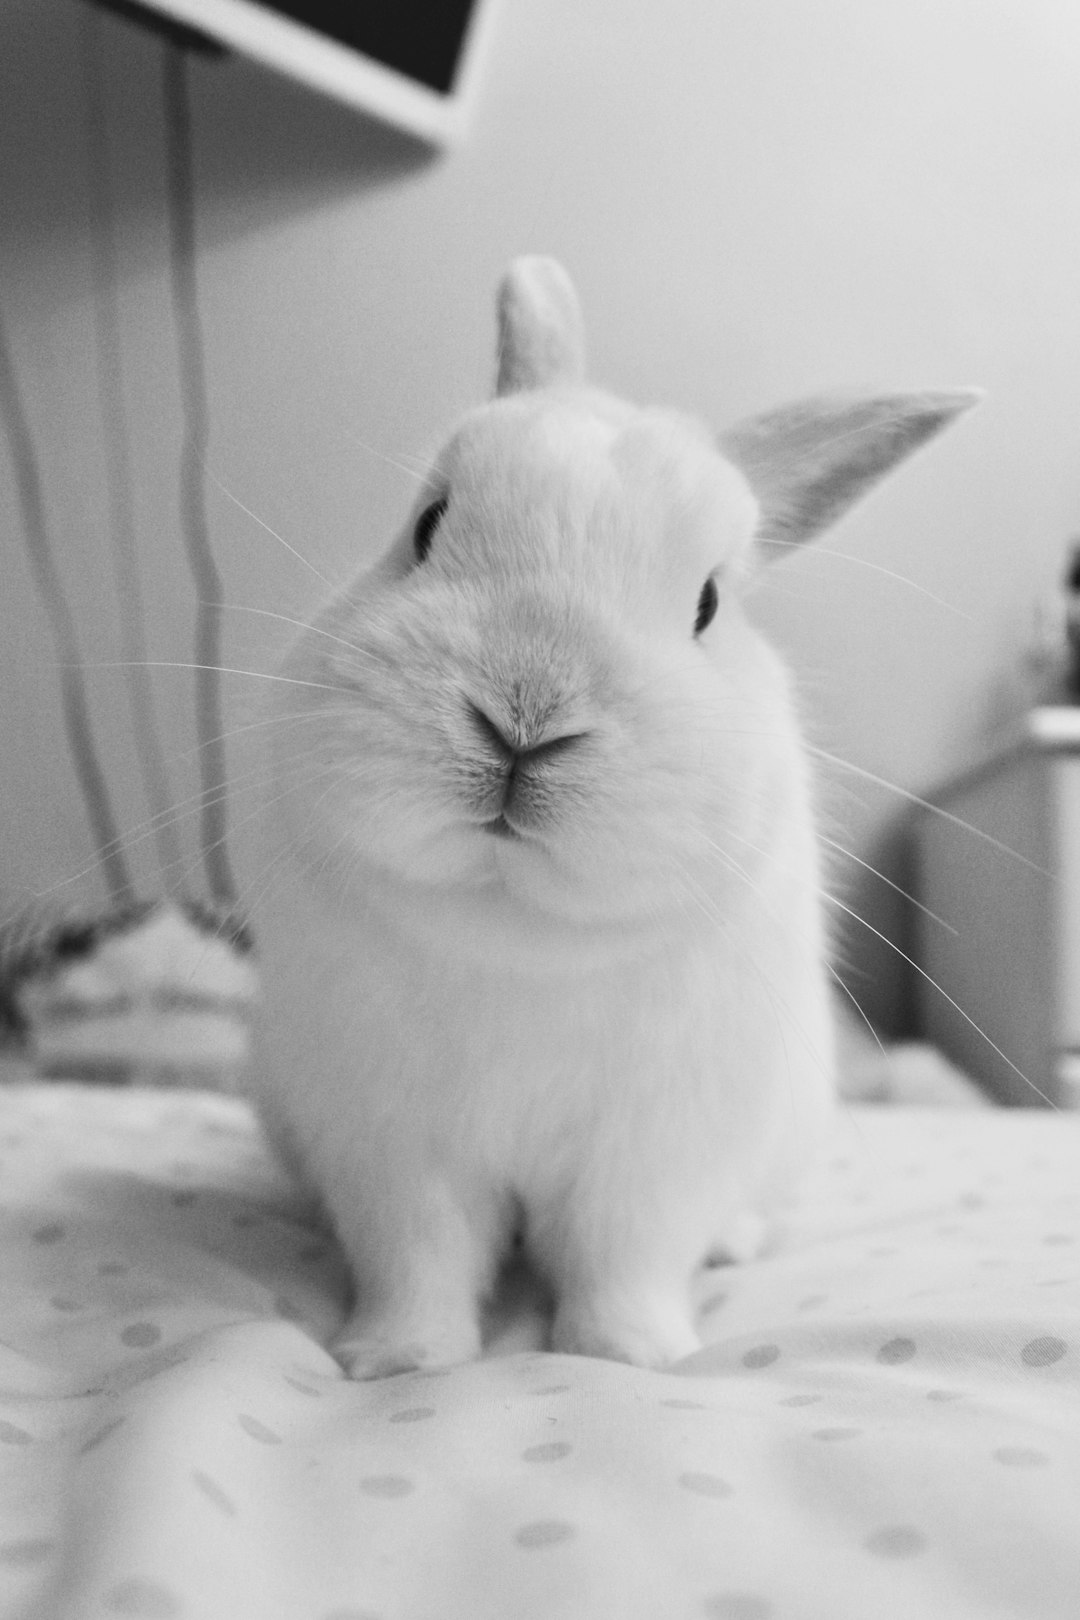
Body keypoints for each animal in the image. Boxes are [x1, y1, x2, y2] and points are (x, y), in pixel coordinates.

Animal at [242, 259, 977, 1373]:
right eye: (425, 528)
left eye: (709, 605)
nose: (523, 717)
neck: (513, 927)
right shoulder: (391, 1146)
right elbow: (417, 1260)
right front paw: (394, 1359)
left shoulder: (653, 1156)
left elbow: (622, 1257)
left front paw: (627, 1357)